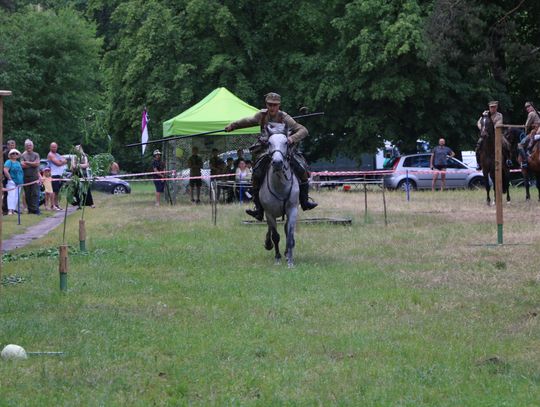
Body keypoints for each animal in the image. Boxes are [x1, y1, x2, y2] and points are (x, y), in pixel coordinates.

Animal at [258, 123, 300, 268]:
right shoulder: (269, 213)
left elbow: (290, 234)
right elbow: (275, 236)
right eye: (269, 143)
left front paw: (290, 260)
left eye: (286, 142)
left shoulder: (292, 210)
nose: (277, 162)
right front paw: (277, 257)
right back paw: (268, 244)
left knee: (286, 229)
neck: (280, 186)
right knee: (271, 230)